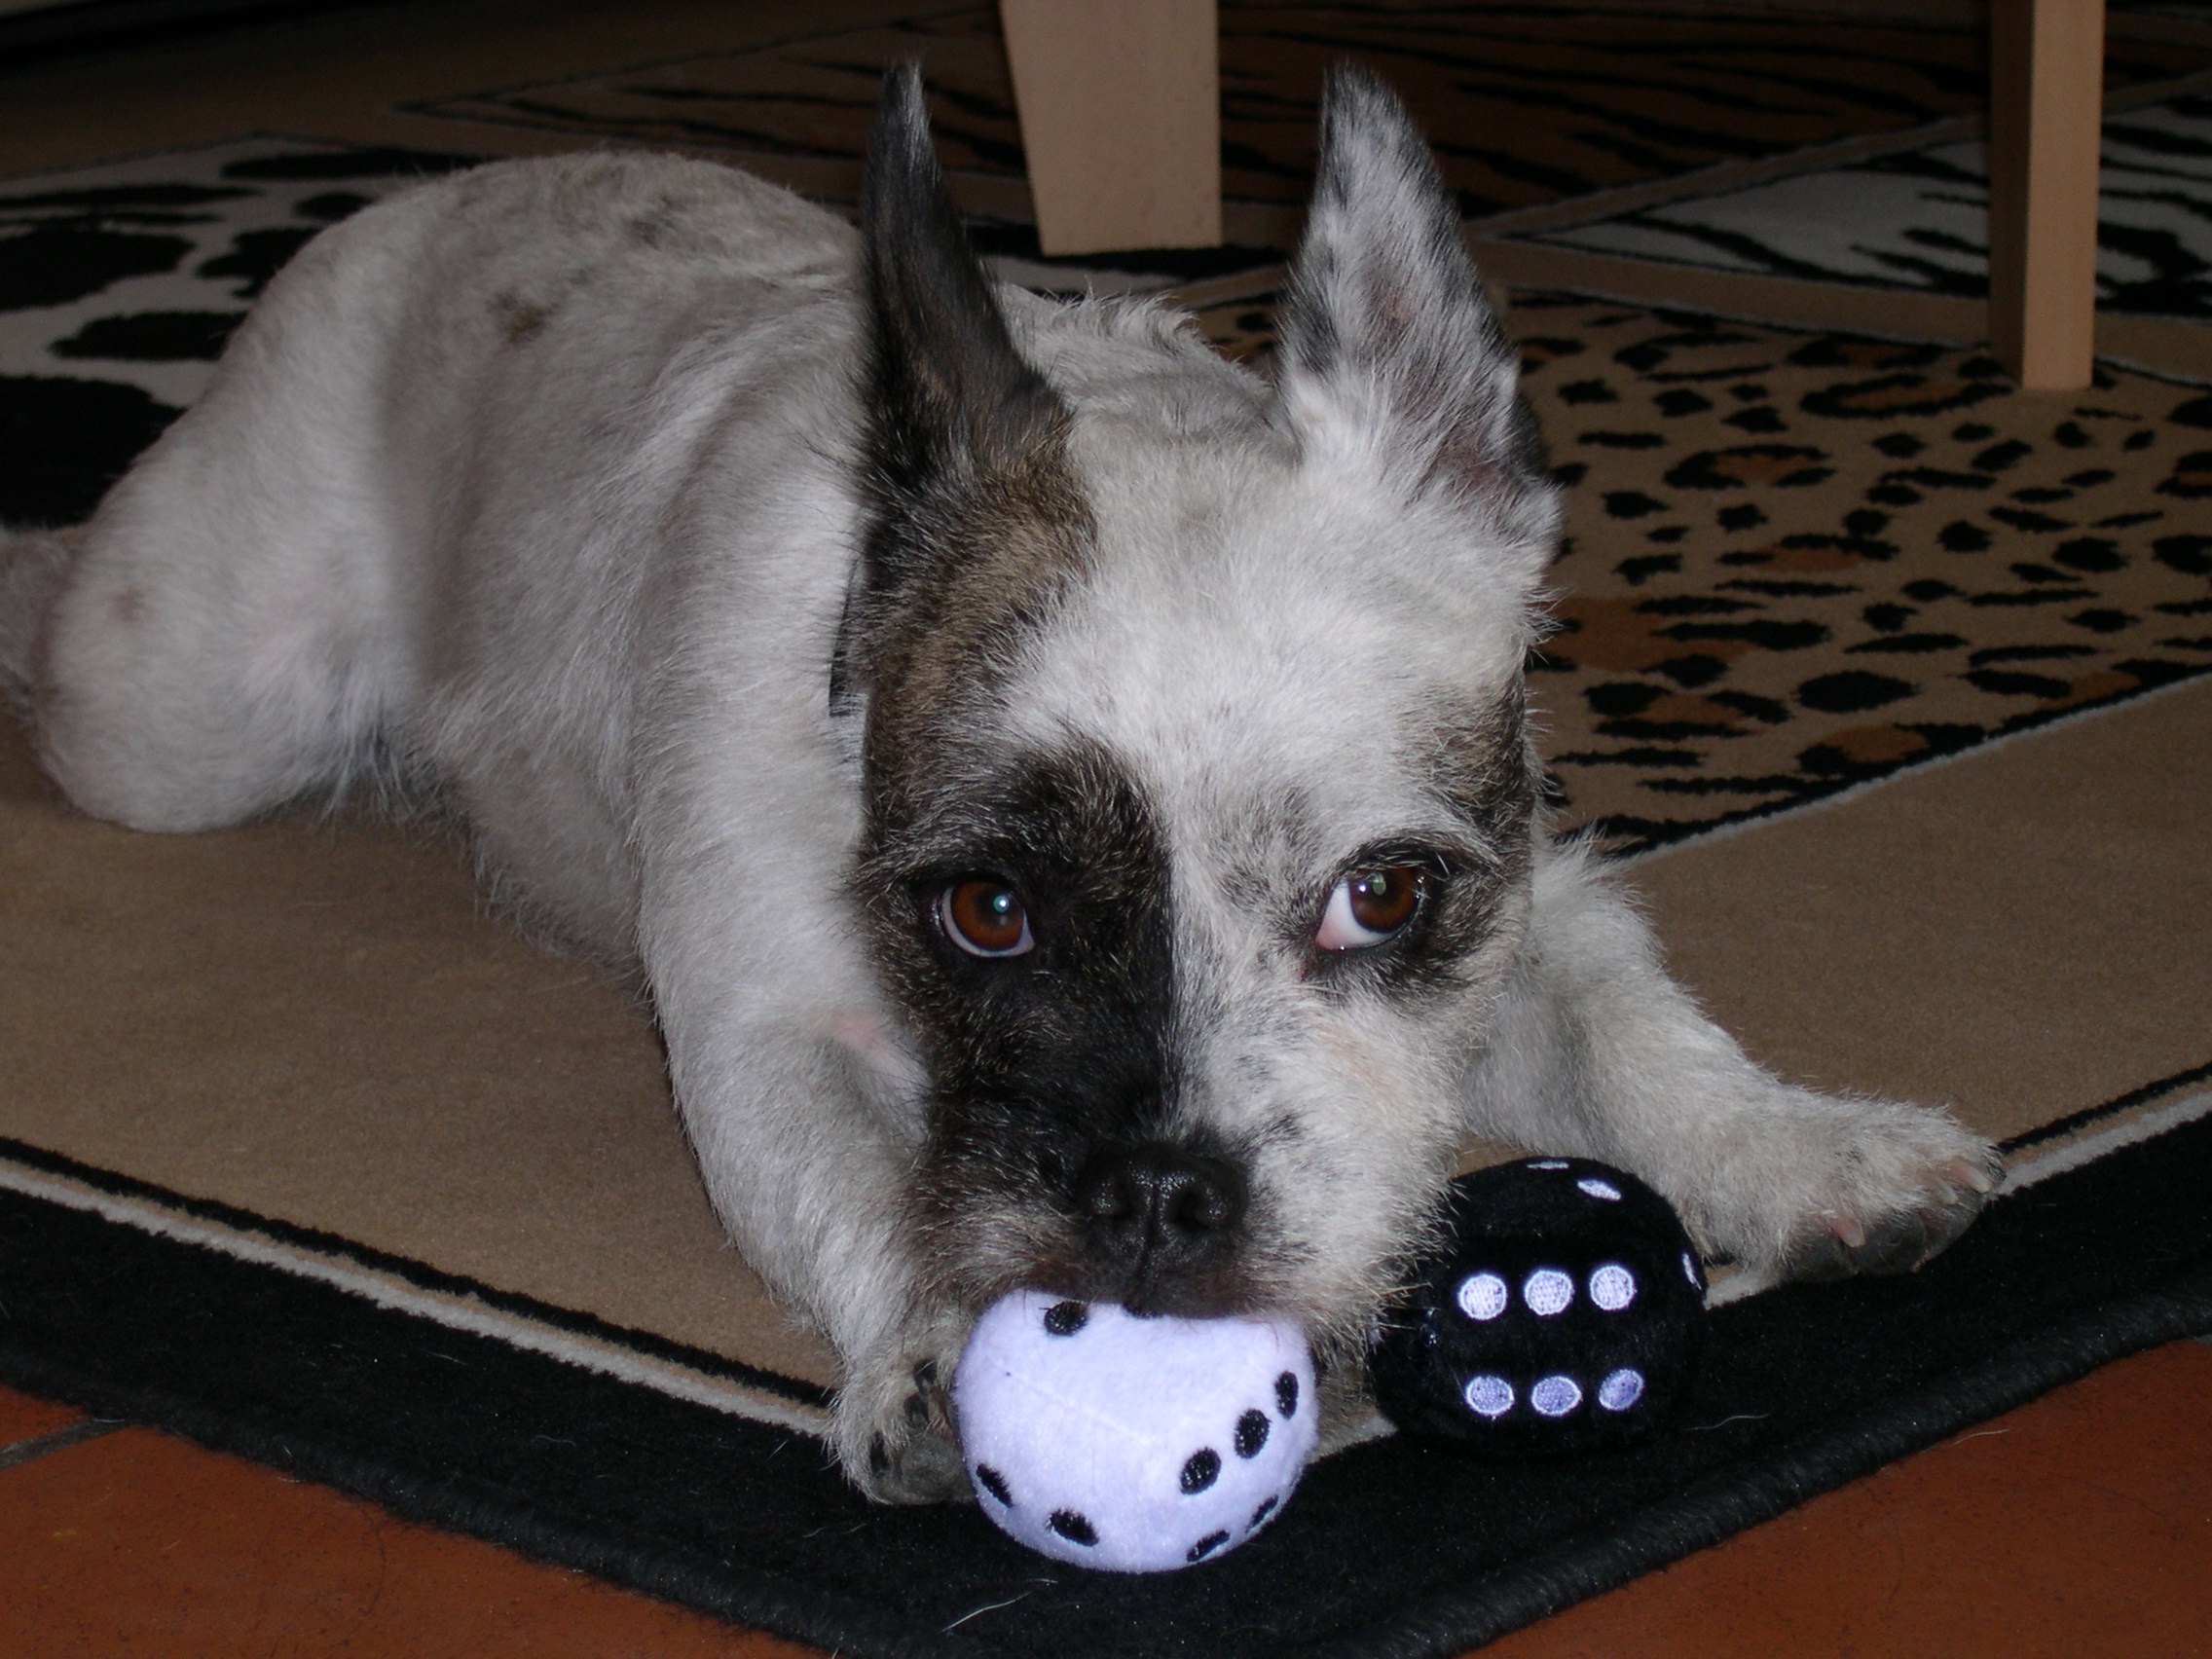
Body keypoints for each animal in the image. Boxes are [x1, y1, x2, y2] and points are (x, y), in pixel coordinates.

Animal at [1, 65, 1999, 1501]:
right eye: (986, 910)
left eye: (1385, 893)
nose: (1162, 1194)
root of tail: (411, 204)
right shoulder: (764, 1029)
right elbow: (864, 1188)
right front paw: (936, 1346)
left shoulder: (1526, 908)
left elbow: (1638, 1030)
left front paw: (1802, 1145)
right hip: (184, 704)